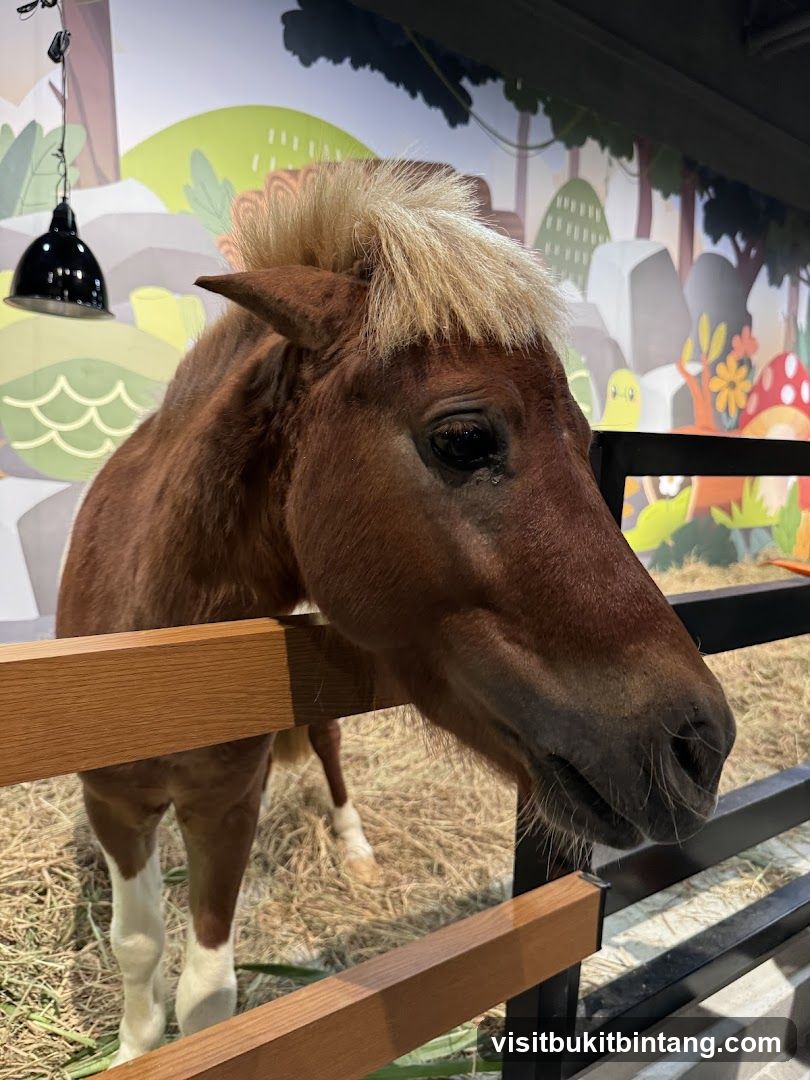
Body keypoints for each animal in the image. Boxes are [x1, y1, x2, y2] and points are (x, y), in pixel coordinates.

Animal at [57, 160, 735, 1065]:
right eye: (465, 438)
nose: (702, 744)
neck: (149, 666)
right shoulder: (116, 802)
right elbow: (138, 946)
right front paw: (136, 1050)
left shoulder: (226, 805)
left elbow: (209, 993)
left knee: (330, 750)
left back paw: (354, 845)